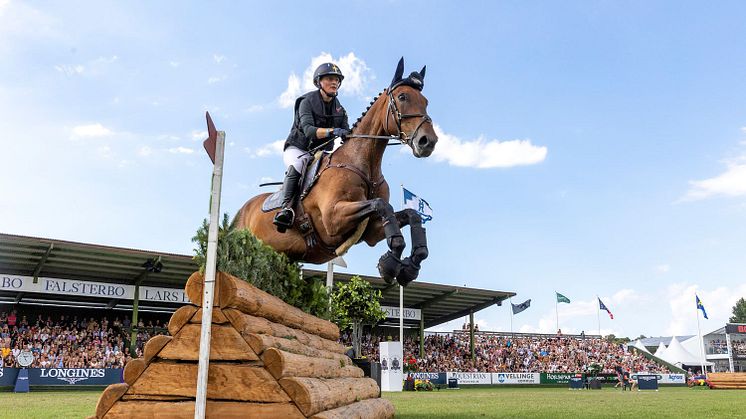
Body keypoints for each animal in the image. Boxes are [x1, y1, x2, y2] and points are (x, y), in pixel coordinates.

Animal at [232, 59, 436, 288]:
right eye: (402, 97)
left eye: (425, 101)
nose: (428, 142)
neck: (364, 165)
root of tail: (242, 211)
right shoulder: (333, 218)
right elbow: (382, 205)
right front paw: (390, 264)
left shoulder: (372, 230)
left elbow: (411, 215)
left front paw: (410, 266)